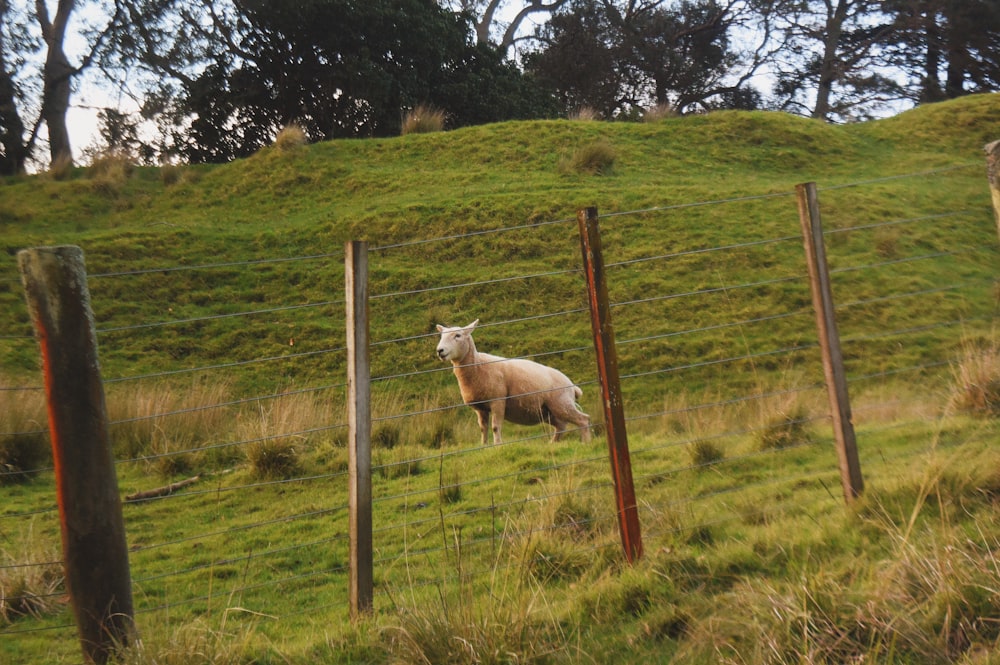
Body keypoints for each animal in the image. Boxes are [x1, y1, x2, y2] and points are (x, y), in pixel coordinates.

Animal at [434, 318, 588, 444]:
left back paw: (586, 443)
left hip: (562, 403)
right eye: (441, 336)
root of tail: (573, 386)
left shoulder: (497, 401)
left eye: (458, 335)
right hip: (550, 410)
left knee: (583, 419)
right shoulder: (480, 407)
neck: (478, 366)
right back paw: (552, 444)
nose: (439, 351)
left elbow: (495, 427)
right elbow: (483, 429)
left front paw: (497, 446)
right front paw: (484, 446)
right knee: (561, 426)